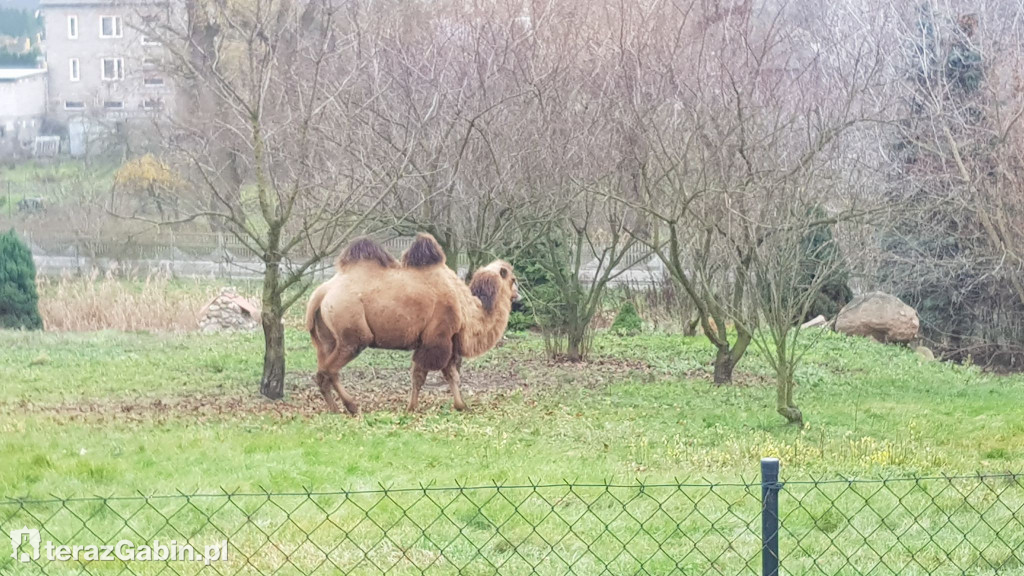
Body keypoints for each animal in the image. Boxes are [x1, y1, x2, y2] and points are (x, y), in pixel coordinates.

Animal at [299, 230, 516, 414]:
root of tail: (321, 294)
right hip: (351, 331)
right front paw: (413, 407)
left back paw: (335, 409)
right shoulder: (437, 338)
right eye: (513, 279)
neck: (465, 306)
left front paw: (459, 405)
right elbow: (426, 375)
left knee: (323, 371)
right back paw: (351, 406)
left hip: (326, 338)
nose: (517, 294)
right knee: (331, 369)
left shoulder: (439, 341)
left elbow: (447, 374)